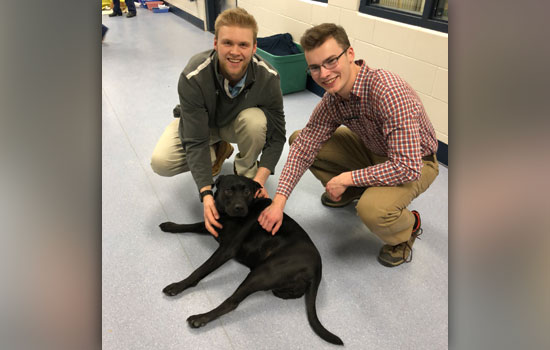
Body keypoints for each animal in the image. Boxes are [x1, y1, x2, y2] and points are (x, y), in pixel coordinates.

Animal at [157, 175, 344, 344]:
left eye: (247, 192)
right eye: (228, 190)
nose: (239, 207)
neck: (228, 216)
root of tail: (318, 268)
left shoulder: (226, 250)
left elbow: (200, 270)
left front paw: (178, 286)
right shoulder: (212, 225)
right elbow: (190, 225)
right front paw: (170, 226)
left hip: (263, 272)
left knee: (232, 302)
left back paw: (200, 318)